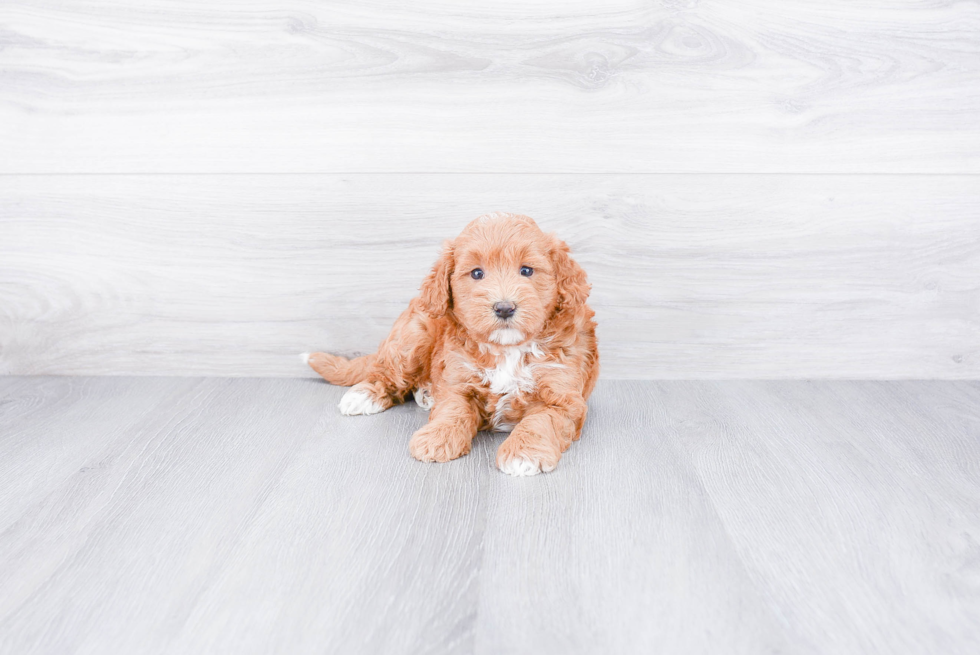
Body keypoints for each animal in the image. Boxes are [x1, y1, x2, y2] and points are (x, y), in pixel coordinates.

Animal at [306, 215, 596, 476]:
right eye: (477, 273)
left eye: (526, 271)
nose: (504, 307)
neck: (506, 349)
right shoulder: (458, 381)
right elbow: (452, 410)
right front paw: (437, 437)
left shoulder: (562, 397)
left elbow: (540, 420)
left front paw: (524, 453)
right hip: (413, 336)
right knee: (388, 371)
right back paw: (364, 395)